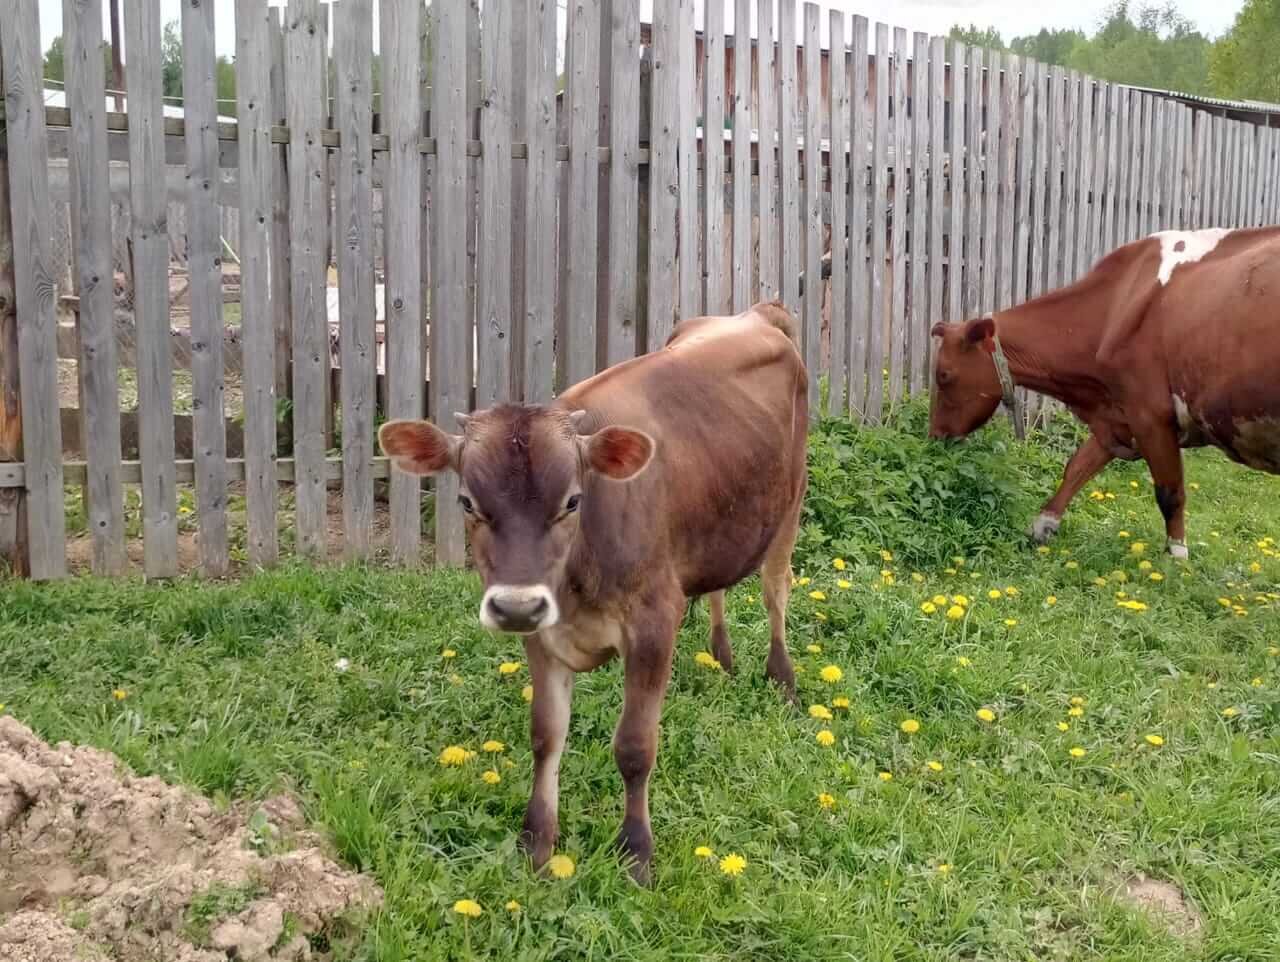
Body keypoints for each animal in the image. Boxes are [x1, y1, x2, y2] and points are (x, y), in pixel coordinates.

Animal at [373, 304, 808, 885]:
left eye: (573, 501)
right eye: (467, 502)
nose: (514, 605)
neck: (577, 580)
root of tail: (757, 311)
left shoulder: (653, 624)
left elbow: (634, 746)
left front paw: (636, 852)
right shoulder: (543, 630)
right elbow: (546, 734)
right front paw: (536, 843)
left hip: (791, 502)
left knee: (775, 589)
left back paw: (782, 680)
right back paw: (721, 657)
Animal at [931, 226, 1280, 555]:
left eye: (943, 375)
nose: (935, 436)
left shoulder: (1150, 416)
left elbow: (1171, 493)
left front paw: (1176, 559)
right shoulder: (1118, 417)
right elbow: (1076, 468)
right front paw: (1042, 527)